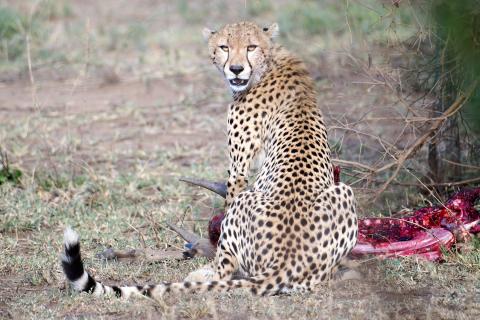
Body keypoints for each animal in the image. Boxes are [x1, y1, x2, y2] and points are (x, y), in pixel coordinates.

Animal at [61, 21, 356, 298]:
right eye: (225, 47)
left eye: (251, 47)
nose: (236, 69)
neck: (270, 62)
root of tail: (287, 263)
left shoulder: (238, 169)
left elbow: (225, 219)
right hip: (343, 191)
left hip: (257, 199)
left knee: (226, 266)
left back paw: (204, 273)